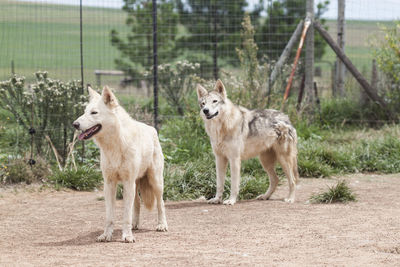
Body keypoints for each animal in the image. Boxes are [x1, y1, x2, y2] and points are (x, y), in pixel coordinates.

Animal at [73, 87, 167, 244]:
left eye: (94, 112)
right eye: (84, 111)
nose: (74, 124)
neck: (114, 146)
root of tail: (152, 129)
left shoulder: (128, 182)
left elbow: (125, 215)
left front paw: (127, 236)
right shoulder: (109, 184)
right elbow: (110, 216)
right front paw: (106, 235)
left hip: (155, 182)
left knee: (161, 204)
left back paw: (162, 225)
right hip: (135, 184)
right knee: (137, 203)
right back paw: (135, 224)